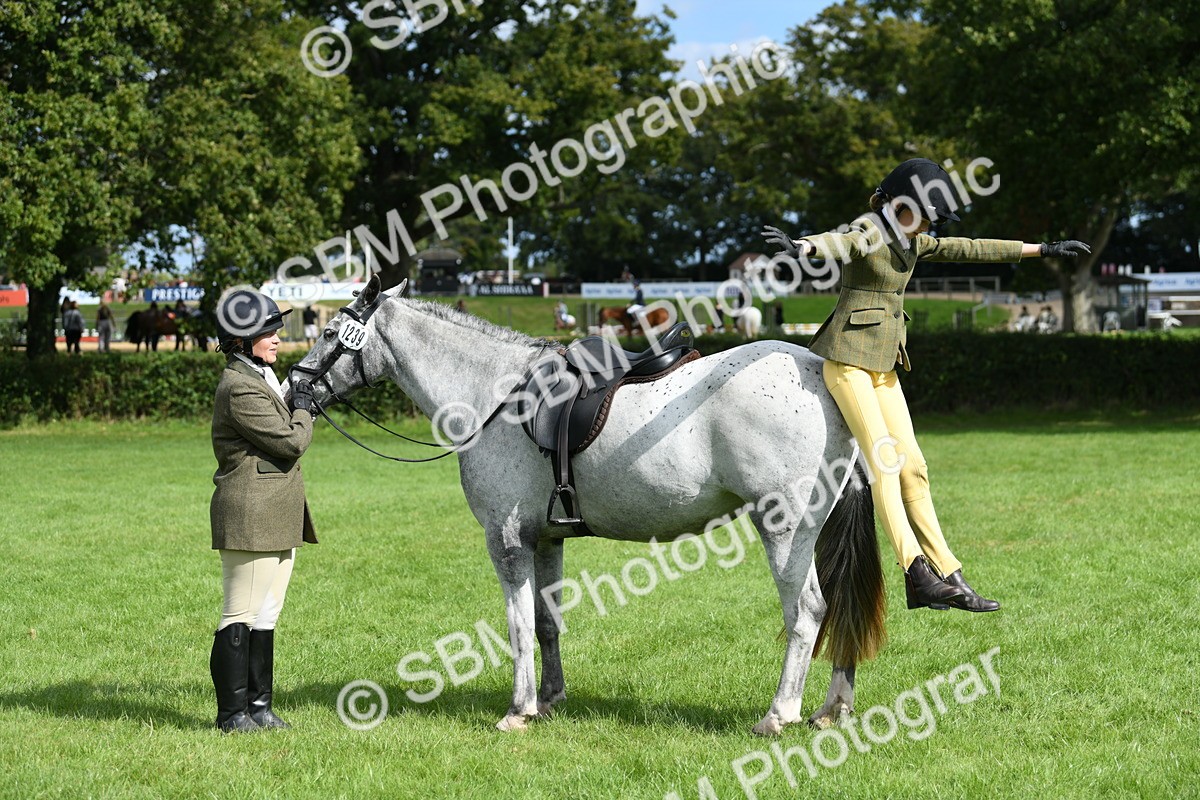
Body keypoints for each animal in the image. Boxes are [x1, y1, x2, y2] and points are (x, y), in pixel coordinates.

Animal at [293, 275, 884, 736]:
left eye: (328, 332)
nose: (295, 387)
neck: (495, 395)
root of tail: (820, 373)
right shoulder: (545, 539)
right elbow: (545, 622)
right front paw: (550, 699)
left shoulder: (506, 541)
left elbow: (517, 625)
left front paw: (519, 709)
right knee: (836, 608)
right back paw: (832, 708)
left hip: (784, 530)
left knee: (807, 613)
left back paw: (779, 714)